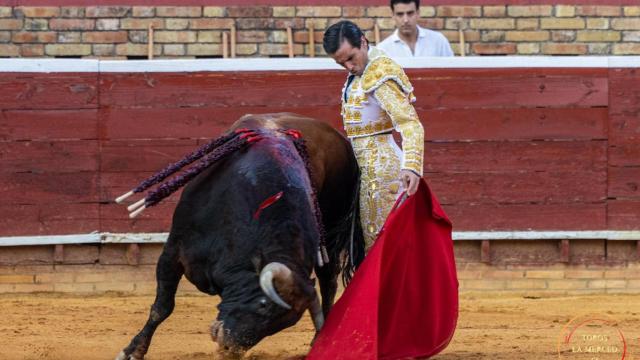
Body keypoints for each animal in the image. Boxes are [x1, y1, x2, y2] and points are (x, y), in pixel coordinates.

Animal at [117, 113, 362, 360]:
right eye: (263, 304)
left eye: (281, 325)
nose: (229, 349)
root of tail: (339, 137)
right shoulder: (173, 251)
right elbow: (162, 307)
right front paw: (132, 351)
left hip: (330, 231)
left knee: (328, 280)